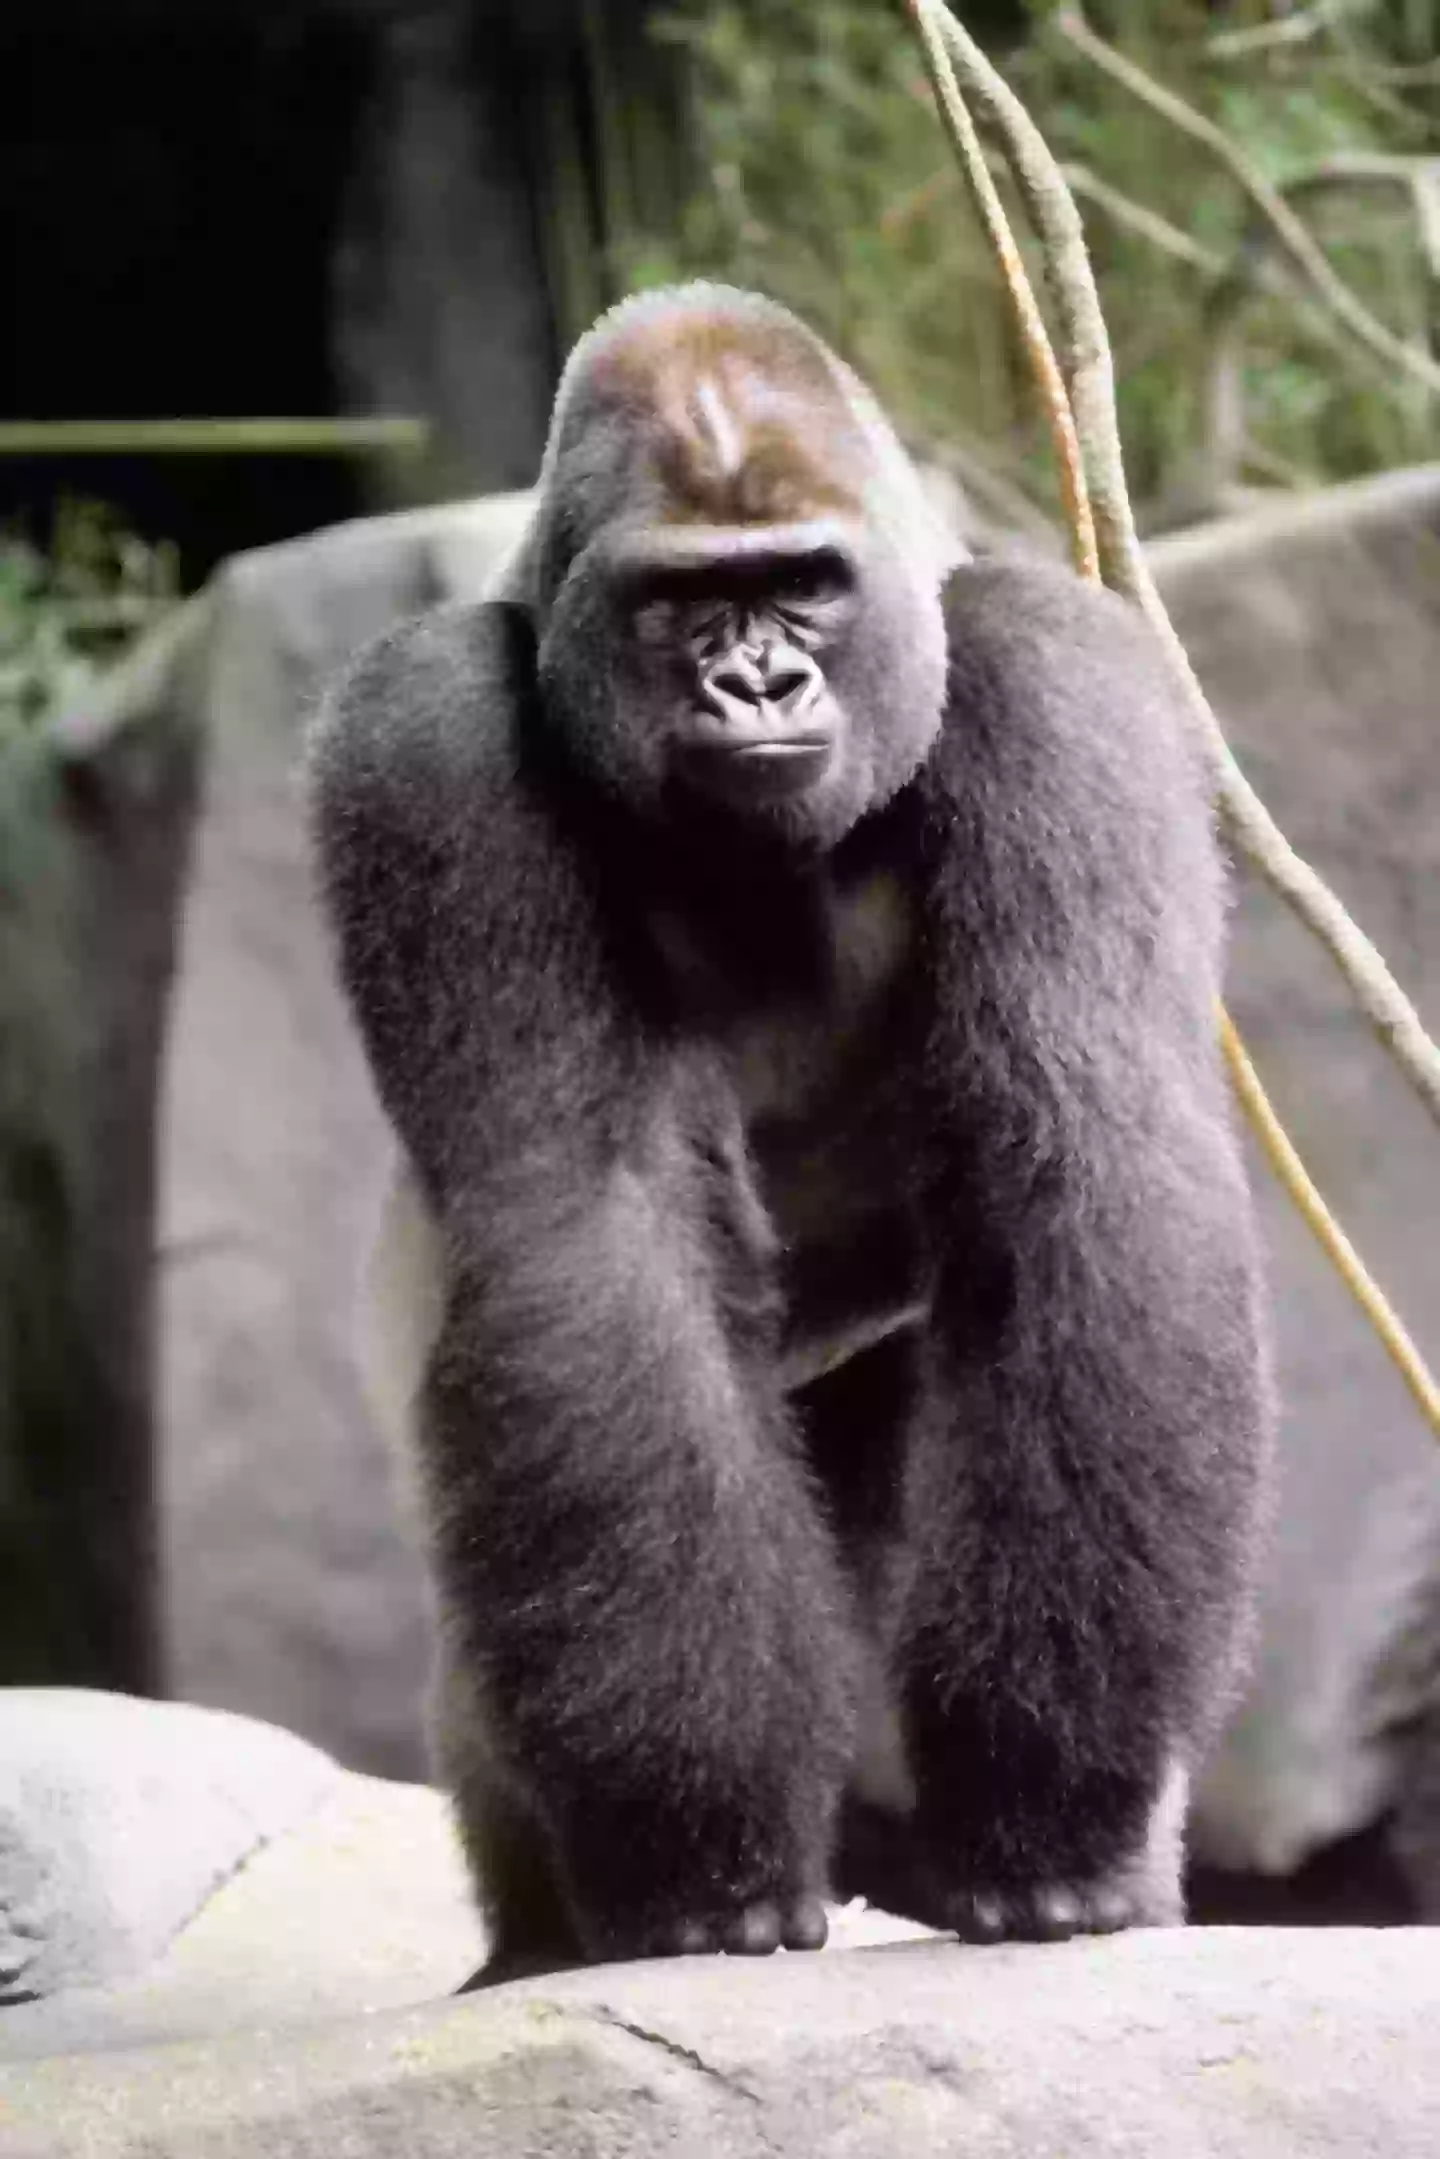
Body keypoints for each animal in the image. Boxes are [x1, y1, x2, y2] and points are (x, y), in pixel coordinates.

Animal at [307, 281, 1273, 1981]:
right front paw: (701, 1846)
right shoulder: (424, 732)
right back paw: (540, 1937)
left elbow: (1087, 1154)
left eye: (802, 586)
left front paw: (1050, 1811)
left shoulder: (1059, 672)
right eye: (683, 602)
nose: (755, 683)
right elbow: (586, 1217)